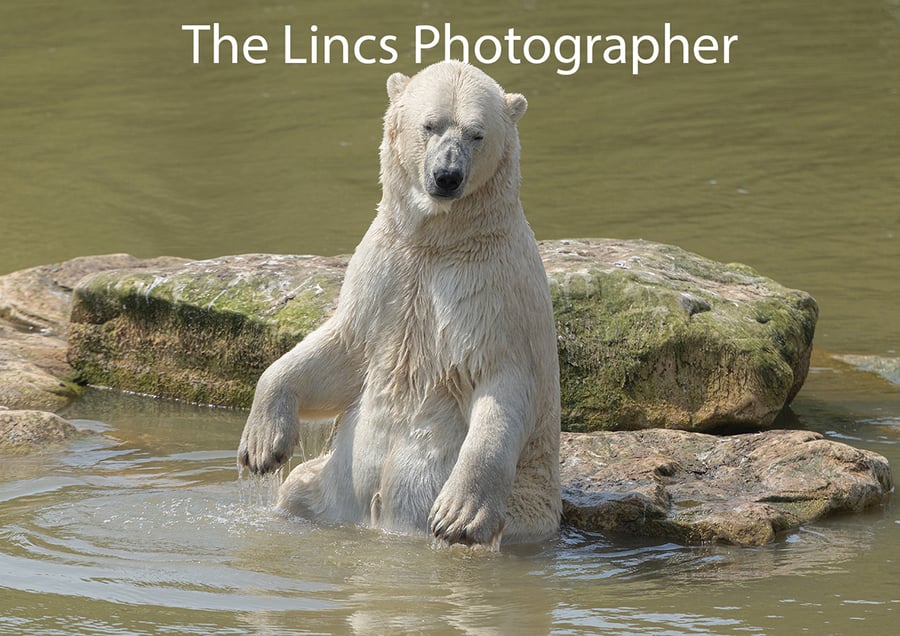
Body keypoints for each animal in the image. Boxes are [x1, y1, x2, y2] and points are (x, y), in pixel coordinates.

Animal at [237, 60, 561, 549]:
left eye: (477, 133)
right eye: (430, 125)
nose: (447, 175)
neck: (439, 243)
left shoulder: (495, 293)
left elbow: (503, 387)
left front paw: (458, 514)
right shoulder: (386, 270)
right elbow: (343, 350)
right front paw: (262, 446)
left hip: (523, 517)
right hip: (331, 491)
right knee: (298, 488)